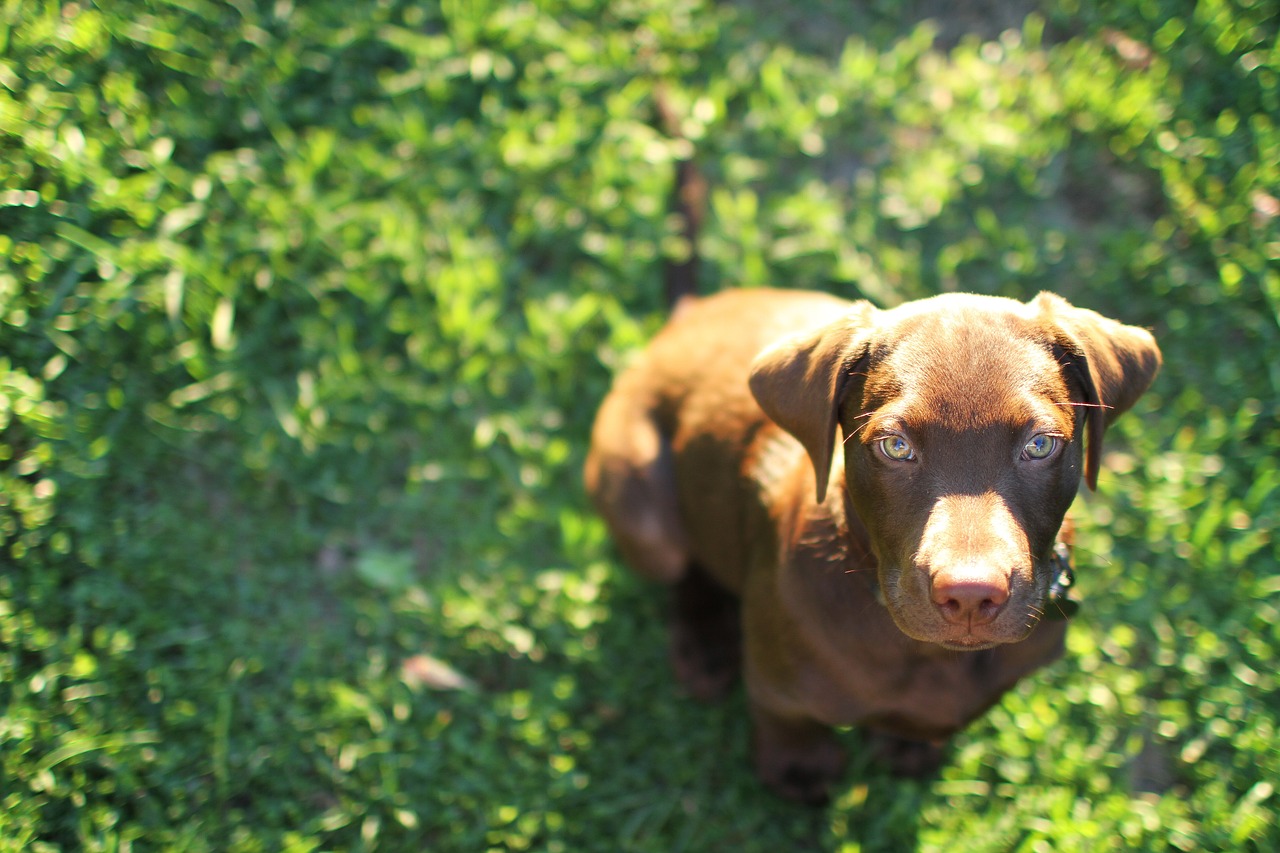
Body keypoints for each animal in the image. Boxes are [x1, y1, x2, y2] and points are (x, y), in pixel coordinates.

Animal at [586, 284, 1167, 799]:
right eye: (895, 446)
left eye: (1041, 445)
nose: (971, 595)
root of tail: (688, 314)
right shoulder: (775, 683)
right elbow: (783, 716)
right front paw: (796, 766)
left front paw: (907, 744)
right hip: (639, 498)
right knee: (684, 569)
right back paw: (704, 646)